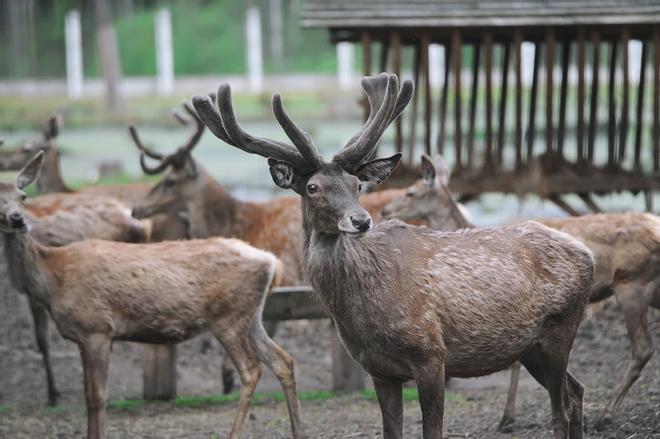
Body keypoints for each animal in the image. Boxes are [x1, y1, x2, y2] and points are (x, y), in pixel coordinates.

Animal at [0, 152, 304, 439]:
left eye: (23, 196)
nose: (17, 220)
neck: (52, 280)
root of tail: (271, 262)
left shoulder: (97, 328)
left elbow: (97, 397)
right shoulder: (81, 337)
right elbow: (89, 396)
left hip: (228, 317)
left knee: (252, 370)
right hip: (251, 317)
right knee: (283, 360)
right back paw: (298, 430)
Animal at [193, 74, 596, 438]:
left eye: (357, 184)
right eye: (312, 187)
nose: (361, 220)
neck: (366, 313)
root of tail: (587, 254)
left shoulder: (432, 354)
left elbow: (433, 430)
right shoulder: (379, 369)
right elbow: (391, 430)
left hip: (560, 328)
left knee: (561, 408)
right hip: (530, 348)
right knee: (576, 392)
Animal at [378, 153, 660, 432]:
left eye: (411, 192)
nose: (384, 210)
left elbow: (514, 361)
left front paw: (507, 417)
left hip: (632, 282)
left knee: (642, 347)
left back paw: (606, 414)